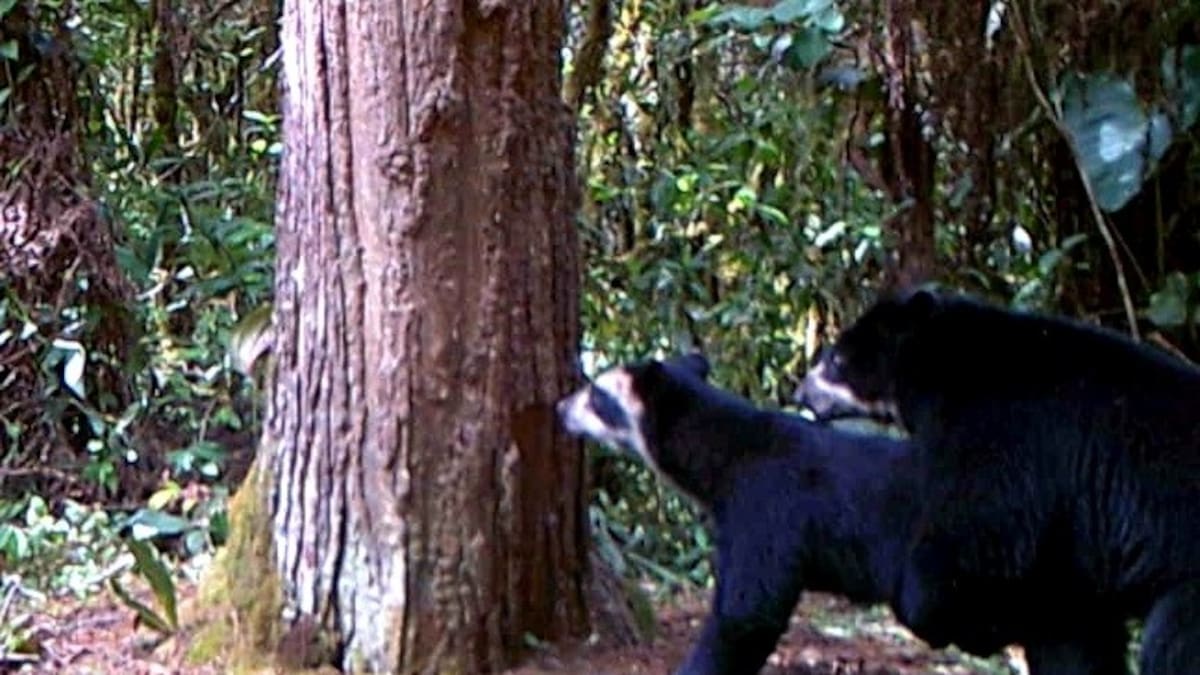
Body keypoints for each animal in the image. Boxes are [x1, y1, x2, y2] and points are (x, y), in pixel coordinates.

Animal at [794, 287, 1200, 675]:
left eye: (837, 360)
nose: (801, 393)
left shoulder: (999, 431)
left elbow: (980, 541)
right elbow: (1074, 626)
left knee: (1172, 645)